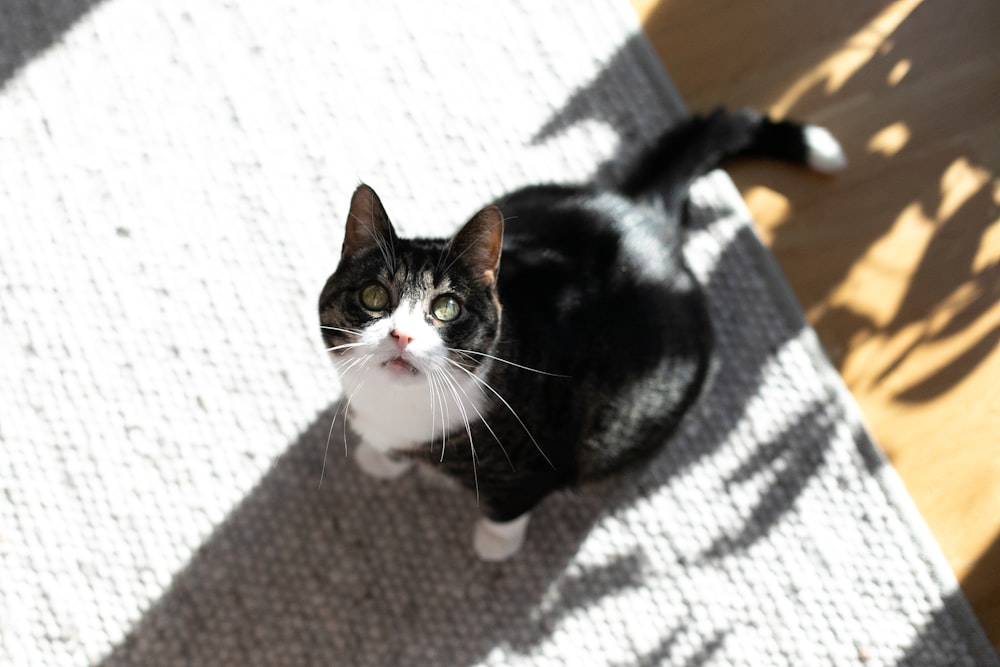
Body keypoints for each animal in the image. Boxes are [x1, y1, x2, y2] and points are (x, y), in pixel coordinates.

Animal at [318, 107, 844, 560]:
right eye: (374, 297)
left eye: (446, 308)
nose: (403, 336)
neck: (400, 410)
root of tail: (645, 213)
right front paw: (380, 459)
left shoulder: (531, 463)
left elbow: (506, 507)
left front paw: (495, 545)